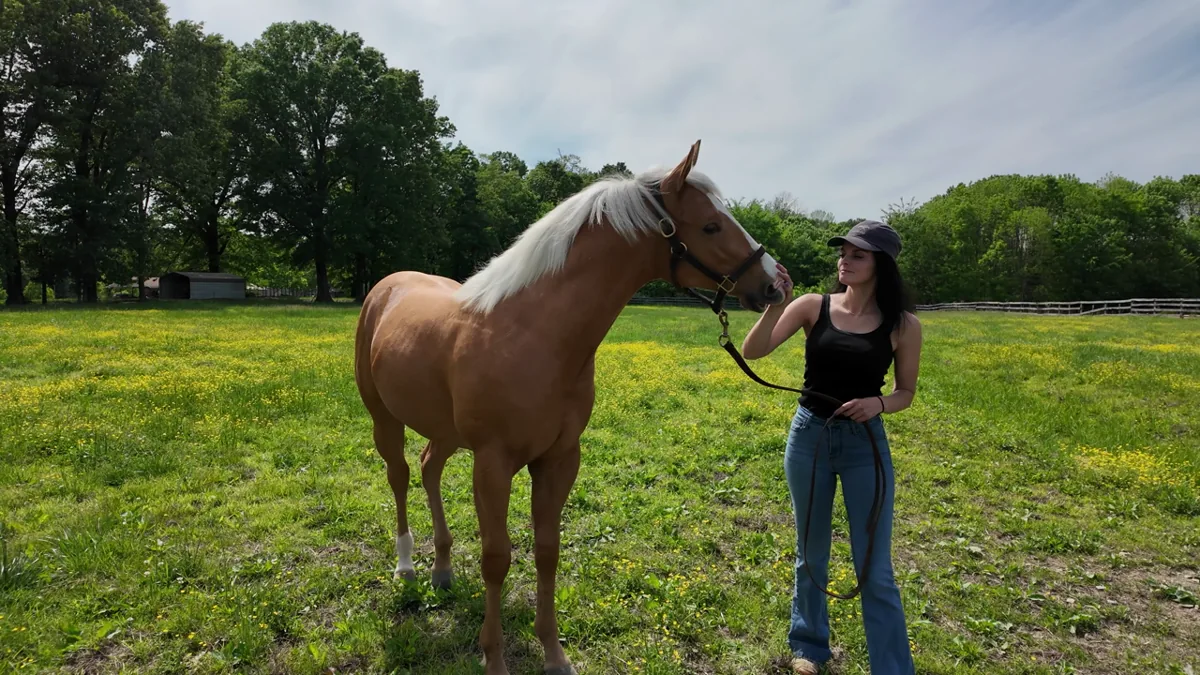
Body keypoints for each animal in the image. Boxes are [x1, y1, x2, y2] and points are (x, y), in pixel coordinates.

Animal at [353, 140, 784, 675]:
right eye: (710, 226)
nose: (777, 282)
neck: (534, 333)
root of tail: (386, 287)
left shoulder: (559, 459)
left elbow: (547, 551)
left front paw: (554, 654)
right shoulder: (493, 464)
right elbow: (497, 558)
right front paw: (494, 658)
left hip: (445, 431)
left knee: (430, 467)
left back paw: (443, 570)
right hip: (385, 419)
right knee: (400, 476)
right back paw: (408, 566)